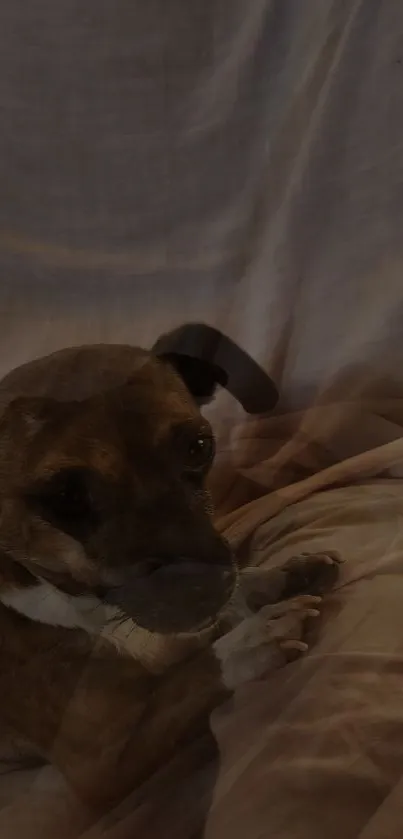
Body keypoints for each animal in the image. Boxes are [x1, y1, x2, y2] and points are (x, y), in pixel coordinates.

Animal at [0, 326, 340, 812]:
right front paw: (251, 641)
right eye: (66, 496)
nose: (204, 587)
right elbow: (197, 675)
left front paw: (277, 579)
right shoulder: (101, 766)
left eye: (199, 447)